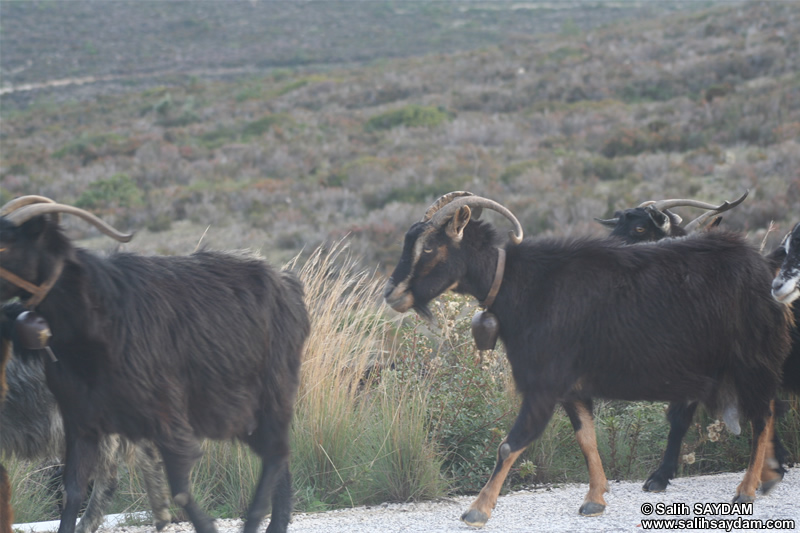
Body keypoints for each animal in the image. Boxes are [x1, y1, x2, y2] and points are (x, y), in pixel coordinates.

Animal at [384, 192, 792, 528]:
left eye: (430, 248)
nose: (391, 293)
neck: (521, 284)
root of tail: (762, 268)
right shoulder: (572, 388)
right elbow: (586, 437)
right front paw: (595, 499)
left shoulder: (544, 384)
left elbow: (510, 445)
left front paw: (476, 510)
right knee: (769, 407)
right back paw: (769, 476)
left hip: (750, 358)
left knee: (762, 414)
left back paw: (747, 489)